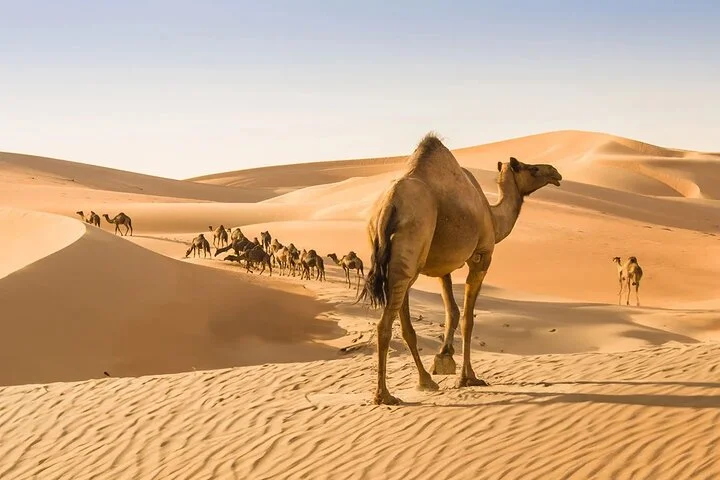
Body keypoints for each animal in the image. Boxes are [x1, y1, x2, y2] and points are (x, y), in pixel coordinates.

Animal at [357, 133, 562, 405]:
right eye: (533, 168)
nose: (555, 172)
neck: (493, 217)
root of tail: (389, 207)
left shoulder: (443, 267)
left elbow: (452, 312)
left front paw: (443, 359)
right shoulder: (481, 256)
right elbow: (467, 318)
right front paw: (468, 377)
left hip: (397, 260)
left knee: (404, 324)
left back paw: (425, 381)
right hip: (410, 250)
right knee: (385, 324)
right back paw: (385, 395)